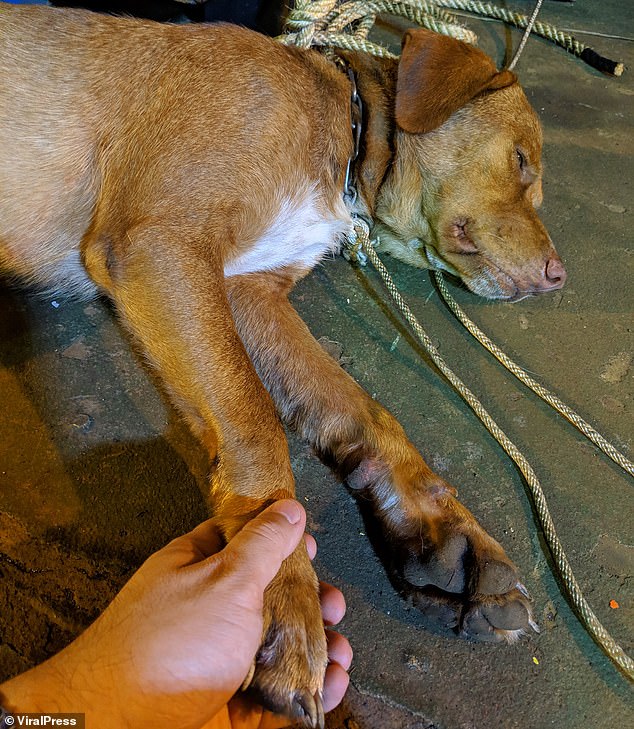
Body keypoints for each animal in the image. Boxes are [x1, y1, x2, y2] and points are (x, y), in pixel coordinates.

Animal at [0, 2, 564, 724]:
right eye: (521, 162)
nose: (559, 277)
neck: (345, 125)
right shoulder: (163, 243)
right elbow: (255, 420)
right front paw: (284, 595)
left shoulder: (249, 288)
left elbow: (360, 409)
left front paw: (444, 533)